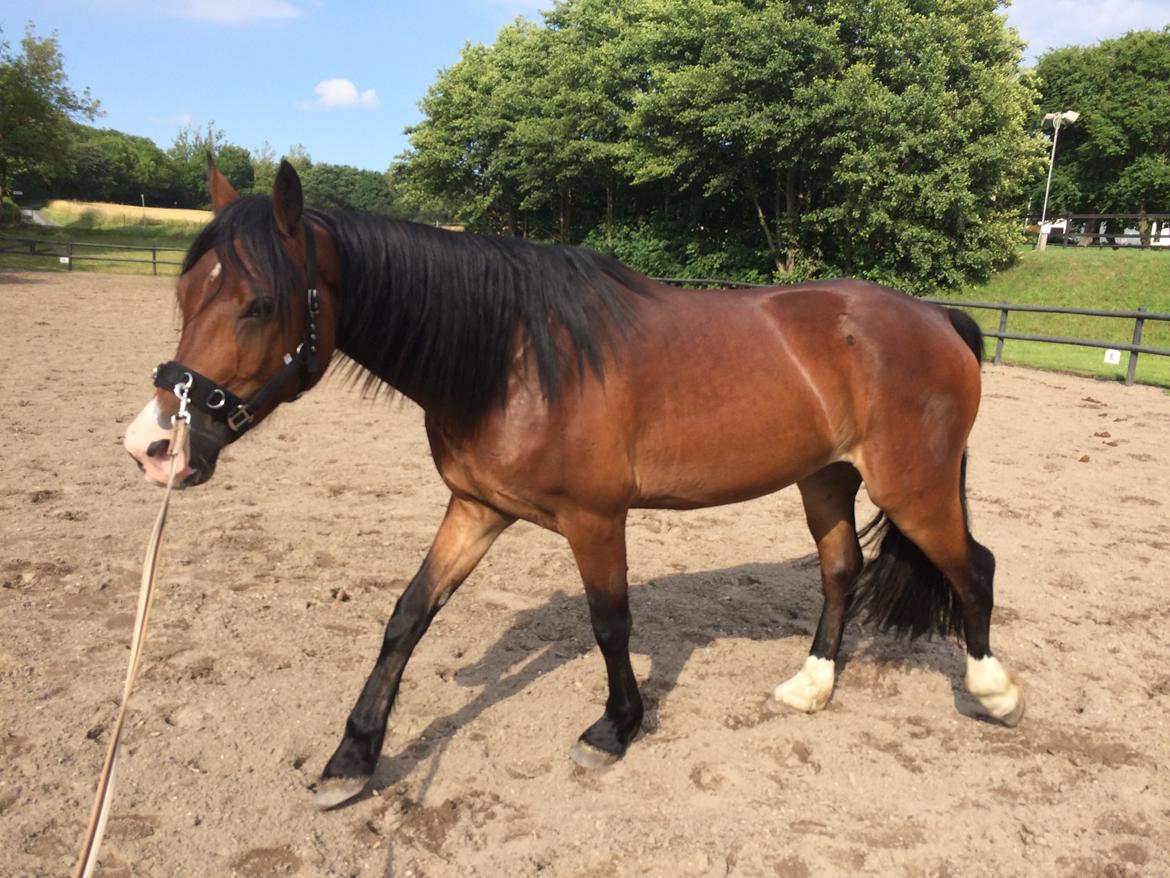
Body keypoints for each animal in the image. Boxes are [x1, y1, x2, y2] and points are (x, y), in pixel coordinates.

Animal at [125, 160, 1024, 810]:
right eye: (184, 294)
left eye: (257, 303)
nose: (154, 446)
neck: (511, 358)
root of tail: (936, 318)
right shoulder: (477, 509)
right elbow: (407, 617)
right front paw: (352, 758)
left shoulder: (596, 520)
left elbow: (610, 623)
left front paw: (614, 730)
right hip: (826, 480)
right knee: (844, 570)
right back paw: (810, 686)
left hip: (913, 487)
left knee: (974, 569)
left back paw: (993, 691)